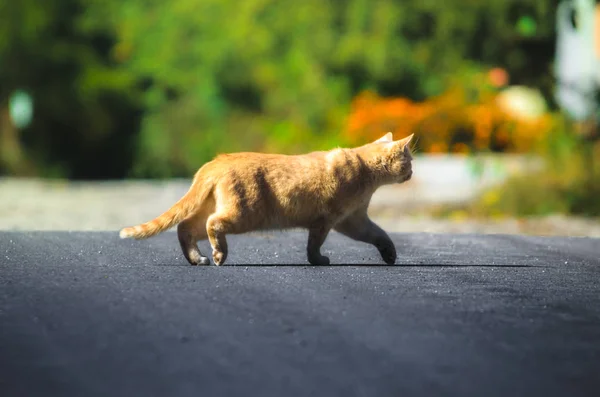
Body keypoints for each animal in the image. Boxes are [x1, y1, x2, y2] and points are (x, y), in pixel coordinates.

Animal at [119, 133, 414, 266]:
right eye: (409, 160)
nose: (412, 173)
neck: (364, 170)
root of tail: (215, 163)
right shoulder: (327, 220)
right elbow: (314, 246)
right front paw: (318, 260)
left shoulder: (353, 220)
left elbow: (380, 234)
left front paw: (390, 254)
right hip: (242, 214)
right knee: (212, 224)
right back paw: (218, 255)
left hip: (218, 211)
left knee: (185, 228)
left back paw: (197, 259)